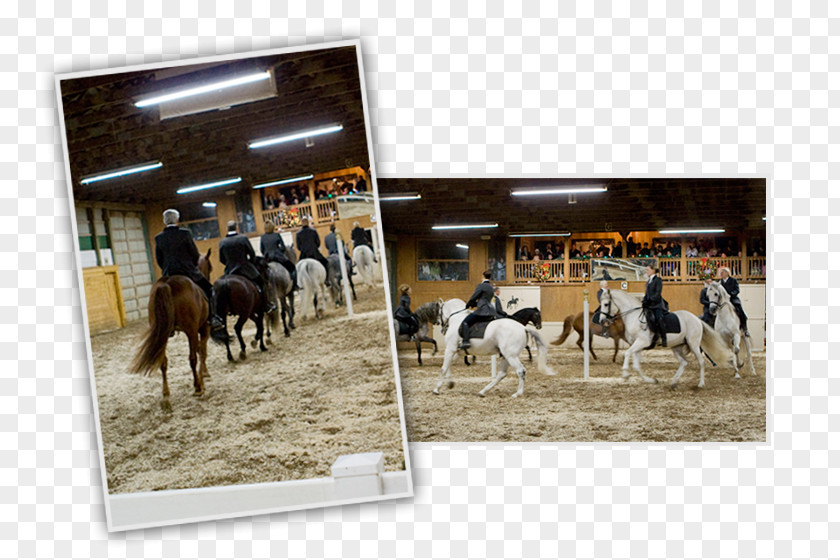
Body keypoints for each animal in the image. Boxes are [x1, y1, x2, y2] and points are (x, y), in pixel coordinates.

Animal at [130, 248, 213, 402]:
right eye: (210, 267)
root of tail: (167, 283)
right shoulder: (204, 327)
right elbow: (202, 351)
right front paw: (203, 375)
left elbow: (201, 350)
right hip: (191, 331)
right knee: (192, 358)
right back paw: (198, 387)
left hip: (162, 334)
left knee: (163, 361)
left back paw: (165, 392)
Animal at [596, 288, 736, 390]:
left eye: (606, 304)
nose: (602, 321)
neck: (634, 317)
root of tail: (696, 319)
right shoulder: (638, 345)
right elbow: (636, 366)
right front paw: (651, 380)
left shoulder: (642, 342)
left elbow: (627, 353)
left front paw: (625, 373)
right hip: (676, 347)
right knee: (684, 362)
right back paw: (674, 382)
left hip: (693, 344)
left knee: (701, 362)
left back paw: (700, 384)